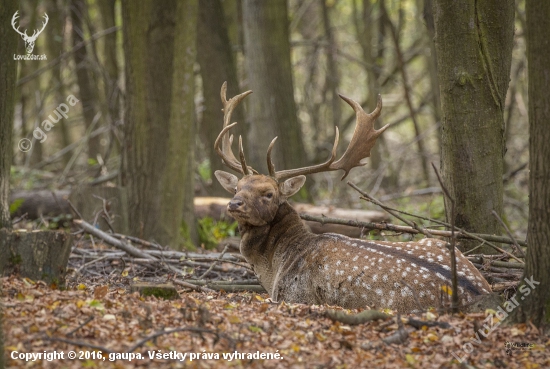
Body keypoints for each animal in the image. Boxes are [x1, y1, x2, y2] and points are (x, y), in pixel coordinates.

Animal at [215, 82, 492, 310]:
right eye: (238, 187)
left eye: (269, 193)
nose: (233, 204)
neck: (273, 269)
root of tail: (480, 291)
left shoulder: (294, 295)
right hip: (439, 243)